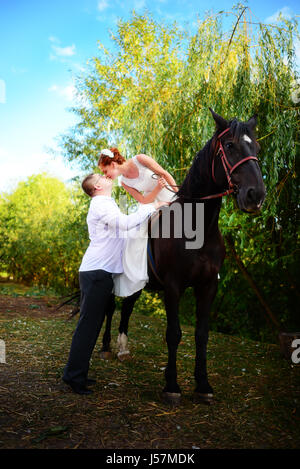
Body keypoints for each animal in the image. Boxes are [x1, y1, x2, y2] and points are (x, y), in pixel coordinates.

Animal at [100, 109, 264, 402]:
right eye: (229, 146)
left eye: (255, 147)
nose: (255, 195)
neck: (198, 228)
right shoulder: (173, 286)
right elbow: (174, 334)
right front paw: (172, 385)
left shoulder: (207, 286)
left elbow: (202, 334)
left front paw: (203, 385)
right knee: (110, 306)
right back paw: (107, 348)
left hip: (137, 283)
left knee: (127, 307)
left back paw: (123, 349)